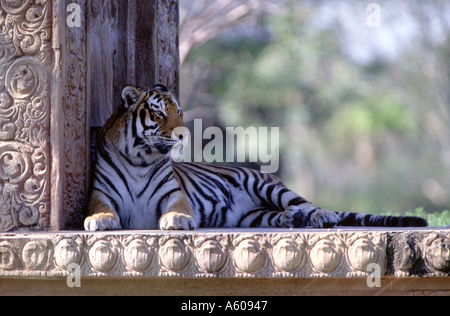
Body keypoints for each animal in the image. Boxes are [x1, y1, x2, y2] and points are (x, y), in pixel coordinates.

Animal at [83, 84, 428, 232]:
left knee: (309, 204)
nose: (183, 134)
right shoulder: (100, 192)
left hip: (269, 187)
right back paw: (291, 219)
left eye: (178, 112)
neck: (140, 159)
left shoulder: (174, 194)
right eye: (158, 113)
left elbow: (178, 208)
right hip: (250, 215)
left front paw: (178, 220)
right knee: (276, 215)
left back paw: (321, 216)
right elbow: (99, 208)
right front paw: (99, 221)